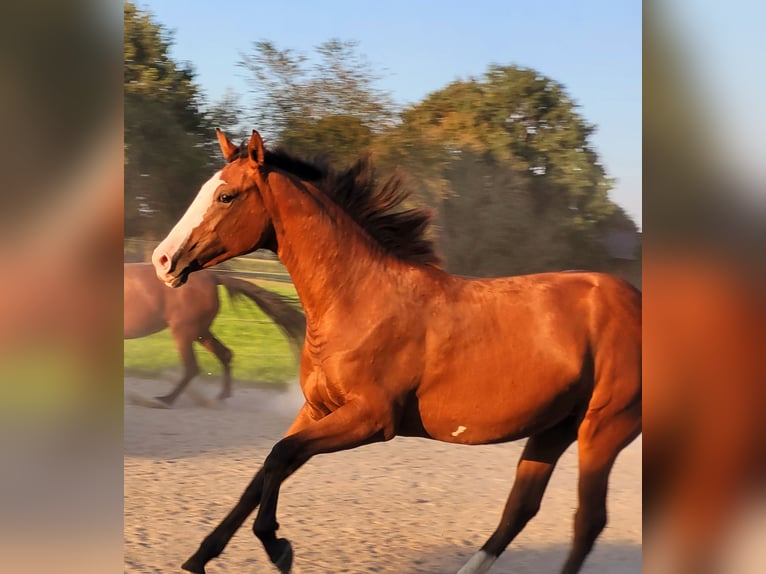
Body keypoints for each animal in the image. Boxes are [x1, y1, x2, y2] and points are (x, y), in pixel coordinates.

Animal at [124, 260, 304, 404]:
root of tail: (213, 278)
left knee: (192, 367)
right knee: (225, 354)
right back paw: (222, 395)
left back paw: (165, 400)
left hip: (184, 331)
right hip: (200, 332)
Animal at [150, 130, 640, 574]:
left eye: (226, 196)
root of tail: (635, 299)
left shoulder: (371, 419)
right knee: (519, 510)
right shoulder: (317, 409)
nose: (163, 260)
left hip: (603, 429)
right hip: (554, 429)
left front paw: (277, 546)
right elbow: (262, 474)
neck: (360, 299)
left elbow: (279, 457)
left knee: (587, 522)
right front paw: (198, 559)